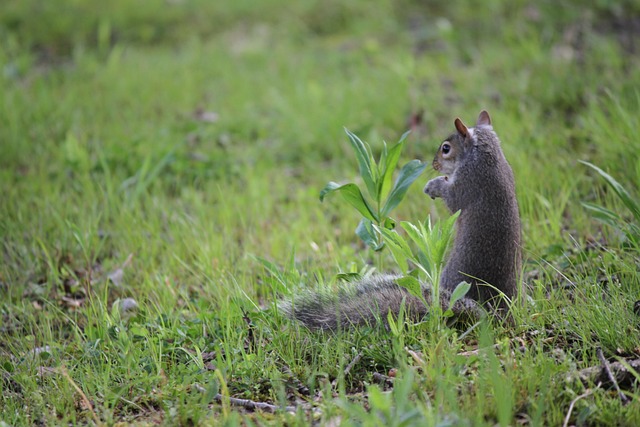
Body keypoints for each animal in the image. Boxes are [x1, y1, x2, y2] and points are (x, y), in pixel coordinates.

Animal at [280, 110, 522, 330]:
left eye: (446, 148)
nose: (434, 164)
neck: (487, 155)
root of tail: (495, 310)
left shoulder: (468, 181)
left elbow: (453, 200)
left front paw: (433, 185)